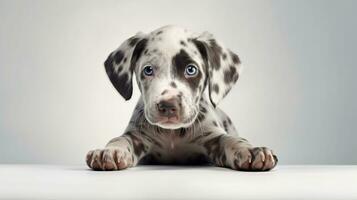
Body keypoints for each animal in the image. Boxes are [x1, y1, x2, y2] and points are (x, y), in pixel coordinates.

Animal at [86, 25, 278, 171]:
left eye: (191, 69)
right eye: (148, 70)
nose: (168, 106)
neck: (172, 135)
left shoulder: (212, 137)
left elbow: (229, 140)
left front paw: (249, 150)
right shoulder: (137, 136)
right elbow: (120, 139)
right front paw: (110, 151)